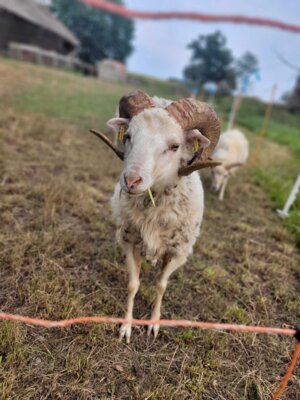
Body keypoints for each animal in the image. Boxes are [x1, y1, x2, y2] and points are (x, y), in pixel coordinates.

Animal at [90, 91, 219, 344]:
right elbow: (133, 285)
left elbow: (160, 286)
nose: (131, 181)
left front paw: (154, 324)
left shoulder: (178, 252)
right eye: (128, 136)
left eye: (175, 146)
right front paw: (126, 327)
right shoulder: (130, 242)